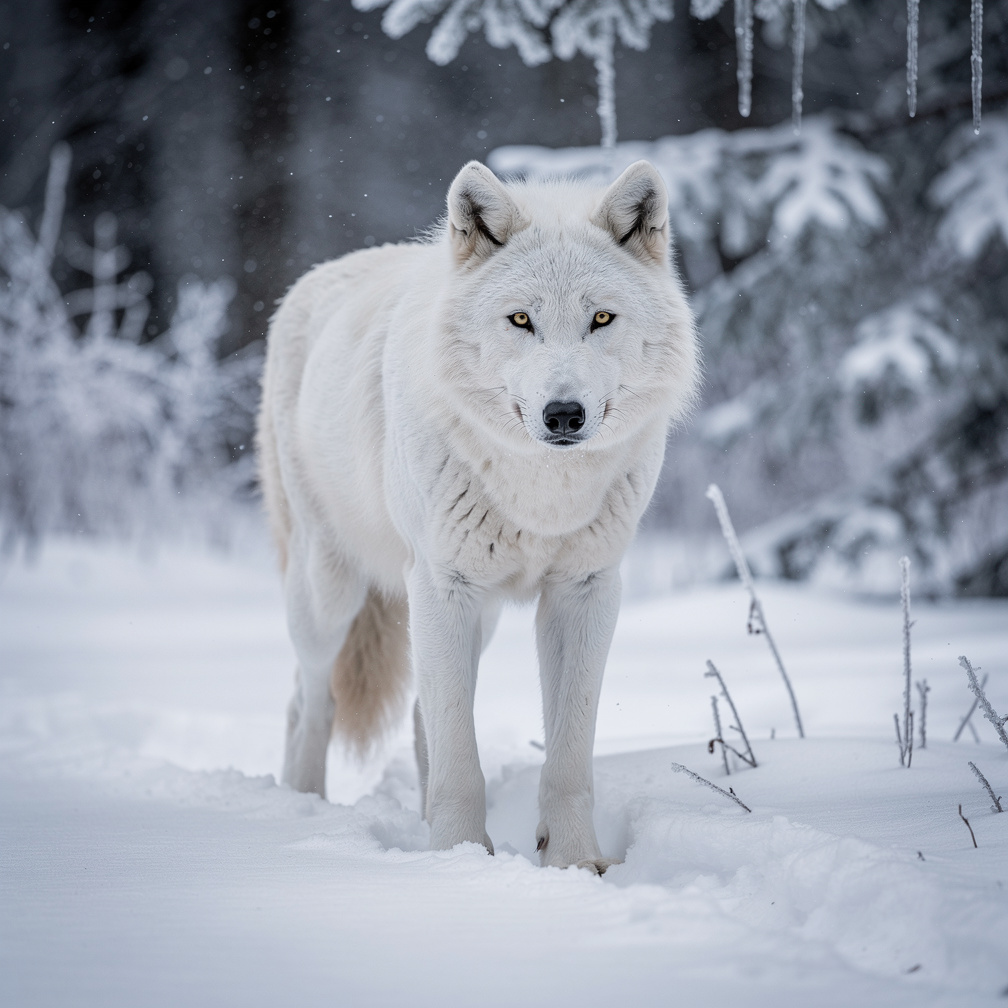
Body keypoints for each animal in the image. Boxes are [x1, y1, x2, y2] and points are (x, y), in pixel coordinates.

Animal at [257, 159, 699, 872]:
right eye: (520, 319)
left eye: (602, 318)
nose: (564, 414)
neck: (540, 494)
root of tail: (317, 275)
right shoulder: (440, 584)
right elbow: (459, 756)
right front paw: (458, 859)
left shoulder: (585, 590)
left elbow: (568, 753)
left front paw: (572, 862)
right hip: (331, 593)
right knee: (310, 698)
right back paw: (302, 808)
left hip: (478, 617)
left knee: (420, 713)